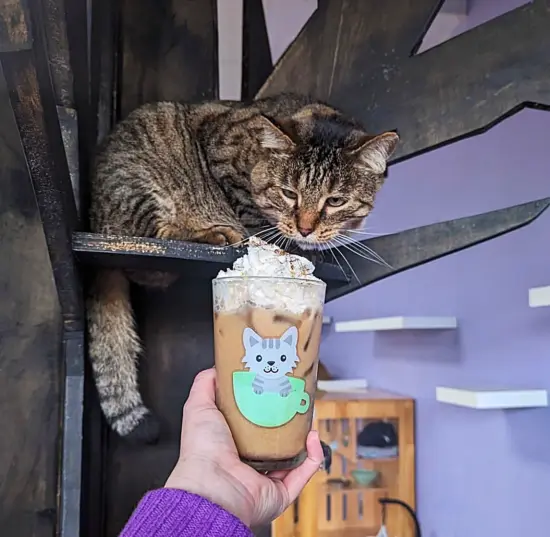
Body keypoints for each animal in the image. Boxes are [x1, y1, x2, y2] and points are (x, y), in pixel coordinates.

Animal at [88, 93, 398, 444]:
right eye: (288, 193)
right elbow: (252, 213)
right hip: (139, 192)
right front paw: (282, 242)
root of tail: (95, 220)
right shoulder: (224, 158)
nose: (305, 229)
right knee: (154, 250)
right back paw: (213, 233)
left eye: (335, 201)